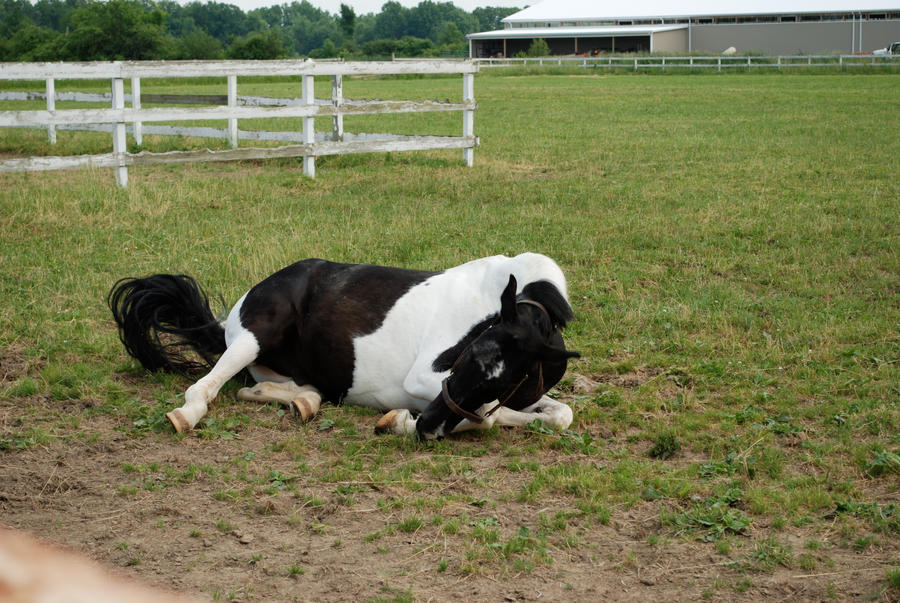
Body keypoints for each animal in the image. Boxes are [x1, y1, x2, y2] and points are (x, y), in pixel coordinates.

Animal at [109, 252, 580, 442]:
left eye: (504, 377)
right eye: (469, 352)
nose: (427, 426)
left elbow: (558, 415)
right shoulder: (425, 380)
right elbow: (487, 416)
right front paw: (400, 421)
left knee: (263, 389)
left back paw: (303, 403)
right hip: (252, 339)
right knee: (204, 388)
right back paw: (185, 415)